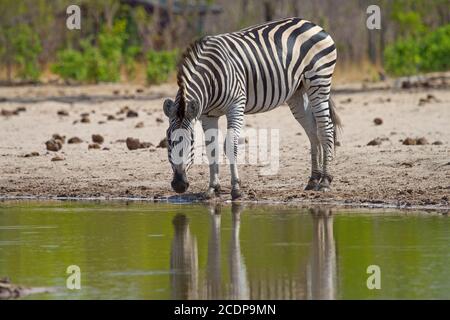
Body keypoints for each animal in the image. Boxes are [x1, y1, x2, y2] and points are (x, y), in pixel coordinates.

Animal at [164, 17, 342, 199]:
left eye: (191, 141)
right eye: (168, 141)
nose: (179, 185)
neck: (210, 79)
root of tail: (310, 23)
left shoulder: (236, 105)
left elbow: (230, 145)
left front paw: (236, 189)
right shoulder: (207, 115)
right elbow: (211, 148)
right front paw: (213, 188)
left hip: (319, 81)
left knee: (325, 129)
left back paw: (325, 181)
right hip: (297, 93)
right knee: (313, 131)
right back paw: (313, 180)